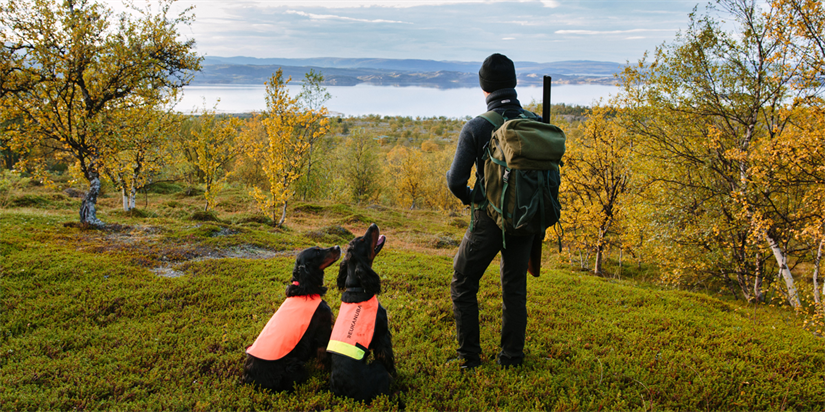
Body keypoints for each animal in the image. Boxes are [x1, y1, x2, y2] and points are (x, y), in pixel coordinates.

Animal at [241, 246, 342, 392]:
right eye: (317, 251)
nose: (338, 247)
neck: (304, 289)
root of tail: (249, 381)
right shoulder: (323, 329)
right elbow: (324, 353)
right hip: (294, 366)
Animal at [326, 224, 396, 400]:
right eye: (363, 240)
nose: (373, 225)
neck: (357, 287)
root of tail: (344, 394)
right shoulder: (382, 334)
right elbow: (387, 355)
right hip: (377, 368)